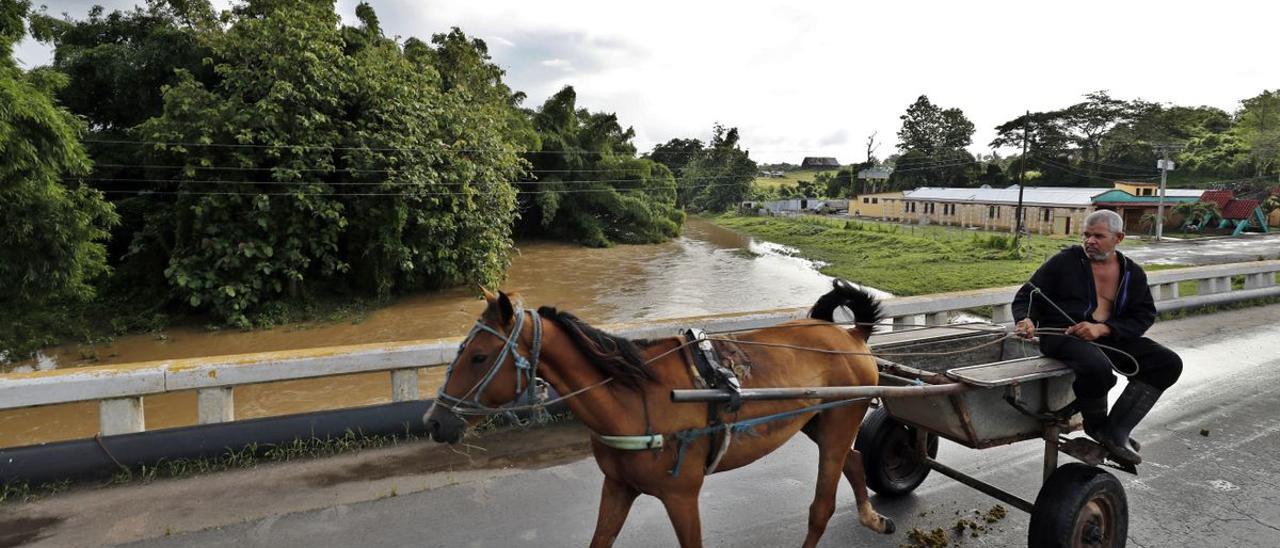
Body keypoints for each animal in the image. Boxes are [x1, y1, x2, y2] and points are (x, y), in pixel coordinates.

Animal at [419, 282, 890, 548]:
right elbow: (600, 540)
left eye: (479, 356)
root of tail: (853, 334)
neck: (634, 397)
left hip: (840, 418)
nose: (435, 421)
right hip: (819, 421)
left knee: (821, 505)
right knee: (853, 459)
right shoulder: (618, 485)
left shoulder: (682, 497)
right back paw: (870, 515)